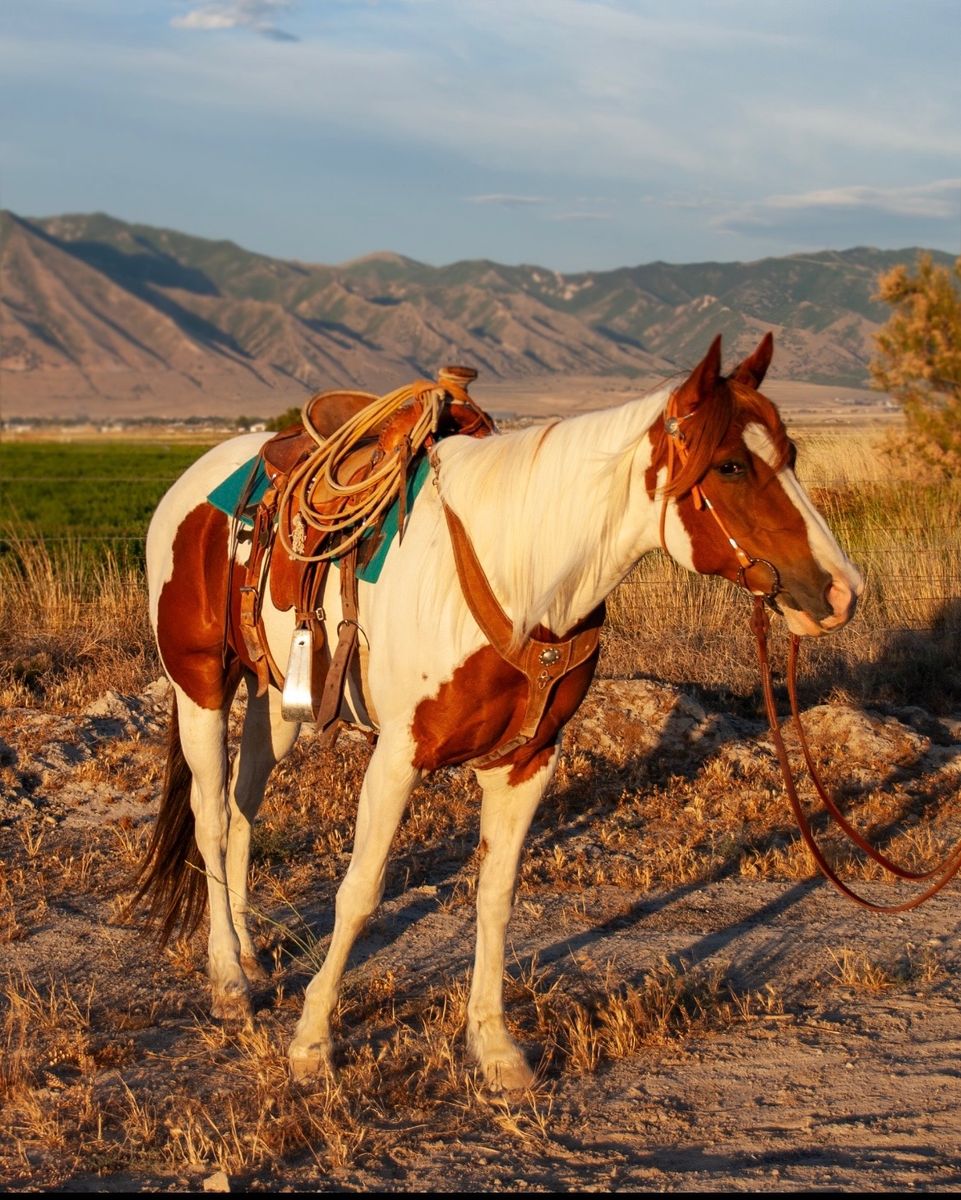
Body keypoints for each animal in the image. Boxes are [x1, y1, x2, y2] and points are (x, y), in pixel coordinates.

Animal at [135, 333, 863, 1092]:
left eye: (791, 454)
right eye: (729, 465)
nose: (842, 592)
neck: (519, 576)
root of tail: (193, 483)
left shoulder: (528, 759)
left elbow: (496, 895)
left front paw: (494, 1047)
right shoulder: (398, 756)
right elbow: (360, 892)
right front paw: (311, 1043)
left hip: (277, 699)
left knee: (244, 805)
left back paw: (249, 954)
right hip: (200, 685)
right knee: (212, 818)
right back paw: (227, 979)